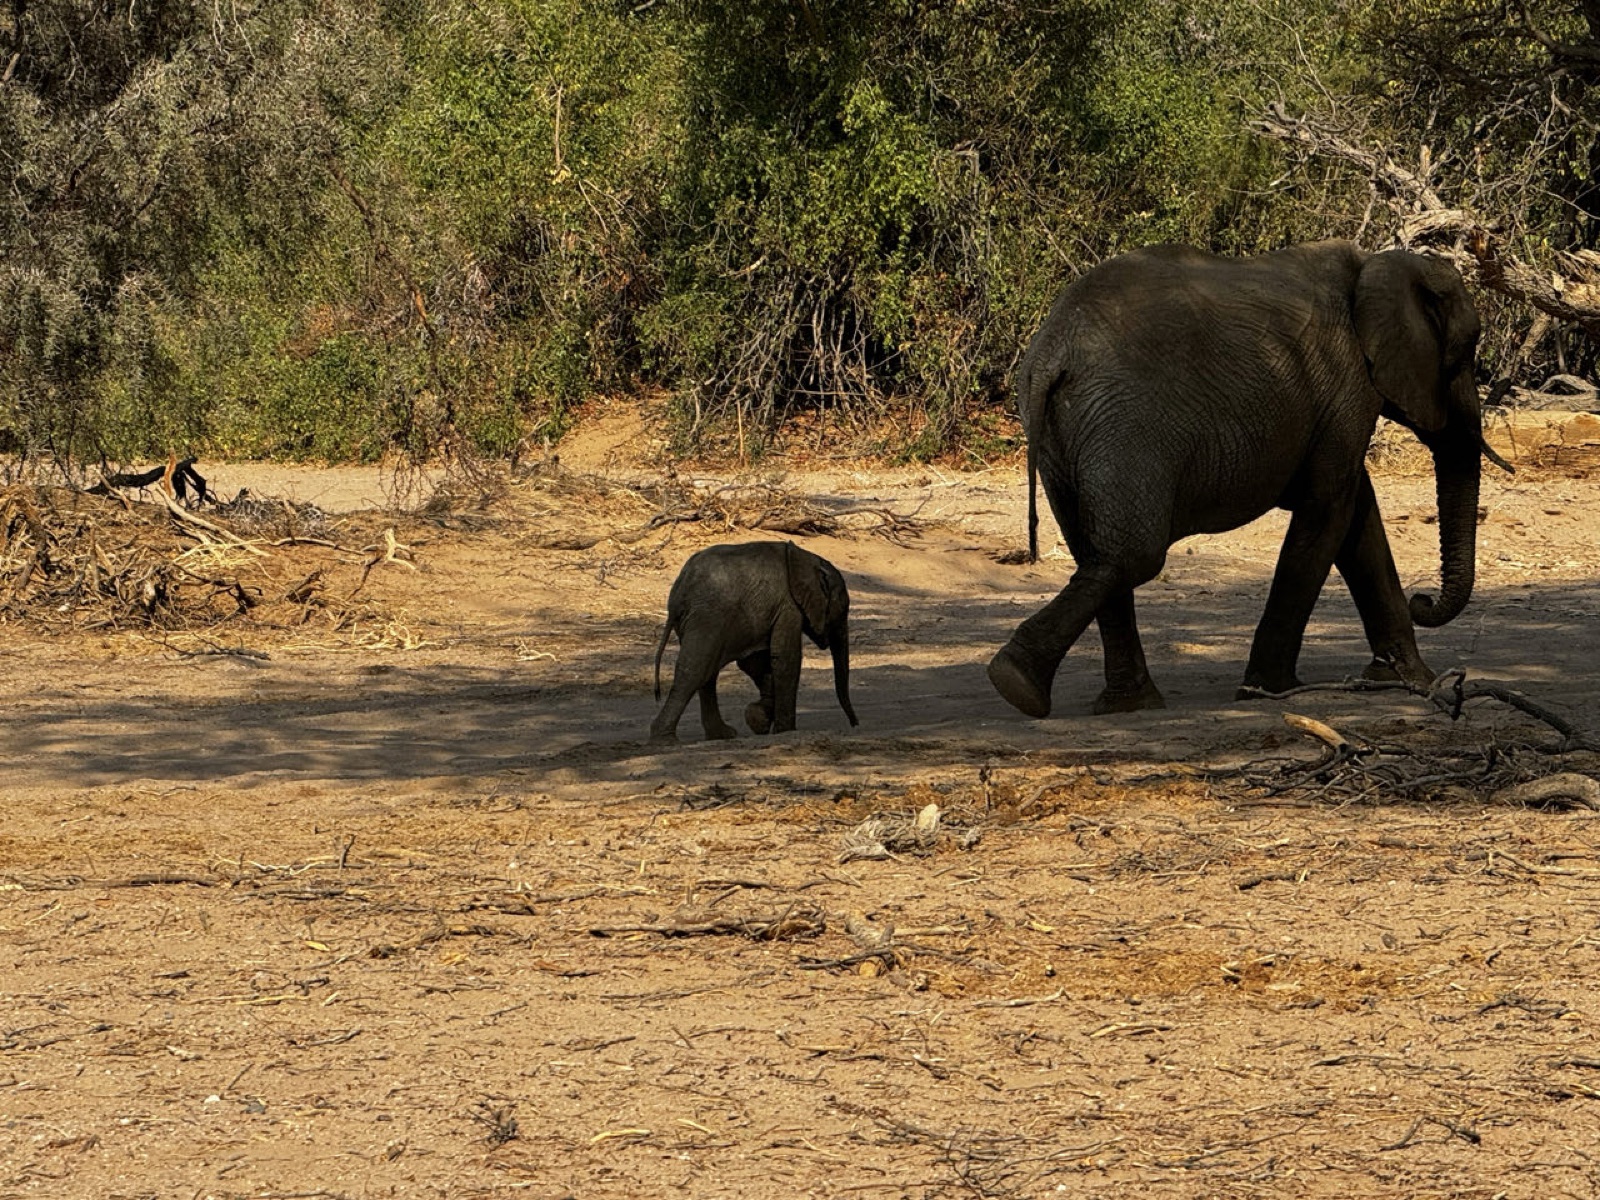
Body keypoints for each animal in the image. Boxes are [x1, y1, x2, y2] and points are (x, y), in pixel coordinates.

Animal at [651, 540, 858, 741]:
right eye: (842, 609)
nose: (855, 724)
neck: (804, 558)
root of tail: (678, 593)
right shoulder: (788, 606)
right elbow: (785, 658)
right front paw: (785, 731)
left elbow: (755, 663)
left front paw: (759, 720)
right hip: (707, 618)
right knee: (696, 670)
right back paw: (665, 740)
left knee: (708, 673)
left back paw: (723, 735)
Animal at [987, 239, 1509, 719]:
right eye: (1464, 351)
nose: (1424, 598)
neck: (1374, 265)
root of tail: (1053, 352)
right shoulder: (1347, 384)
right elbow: (1329, 510)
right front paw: (1267, 692)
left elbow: (1359, 519)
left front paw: (1411, 681)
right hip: (1124, 424)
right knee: (1133, 555)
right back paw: (1018, 685)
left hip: (1067, 431)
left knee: (1096, 552)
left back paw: (1107, 702)